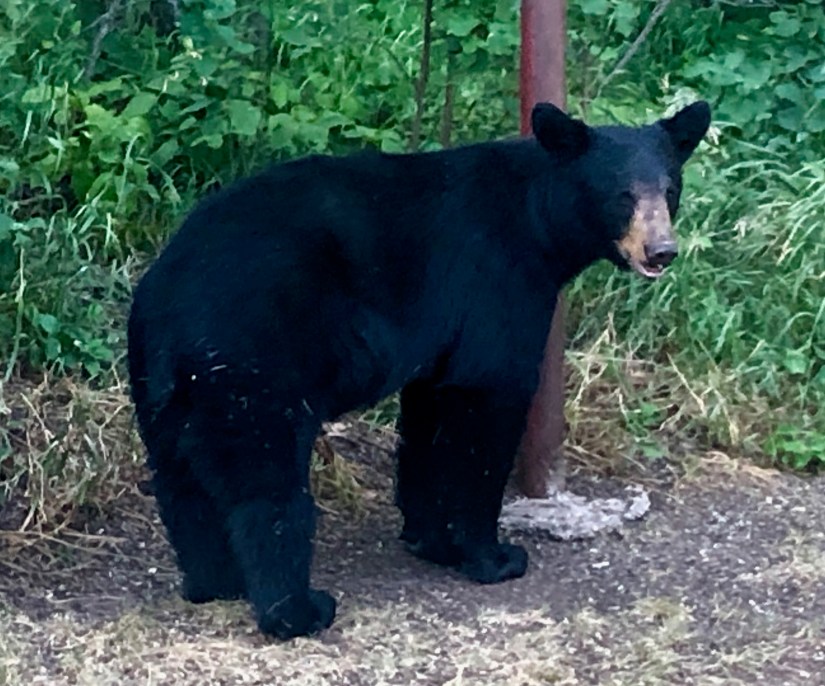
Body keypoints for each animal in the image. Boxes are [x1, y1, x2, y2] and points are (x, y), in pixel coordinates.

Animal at [127, 100, 711, 639]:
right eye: (622, 195)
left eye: (670, 189)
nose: (661, 251)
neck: (537, 224)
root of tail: (172, 300)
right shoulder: (496, 281)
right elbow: (485, 406)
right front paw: (493, 555)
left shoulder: (440, 336)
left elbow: (430, 417)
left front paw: (428, 537)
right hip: (254, 363)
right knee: (265, 488)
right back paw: (297, 609)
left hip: (161, 386)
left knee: (181, 481)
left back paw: (214, 582)